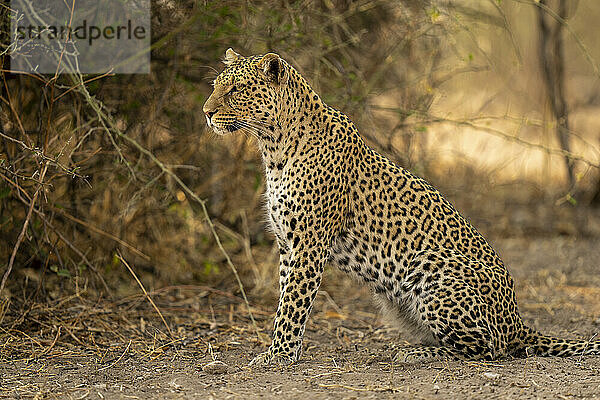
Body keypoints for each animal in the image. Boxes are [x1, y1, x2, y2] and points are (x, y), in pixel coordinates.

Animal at [203, 47, 600, 366]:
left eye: (235, 90)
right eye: (215, 86)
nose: (206, 112)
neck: (273, 147)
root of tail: (517, 320)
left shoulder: (309, 245)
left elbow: (293, 305)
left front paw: (278, 355)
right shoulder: (288, 244)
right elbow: (285, 299)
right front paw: (282, 350)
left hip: (433, 267)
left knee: (488, 349)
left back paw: (415, 353)